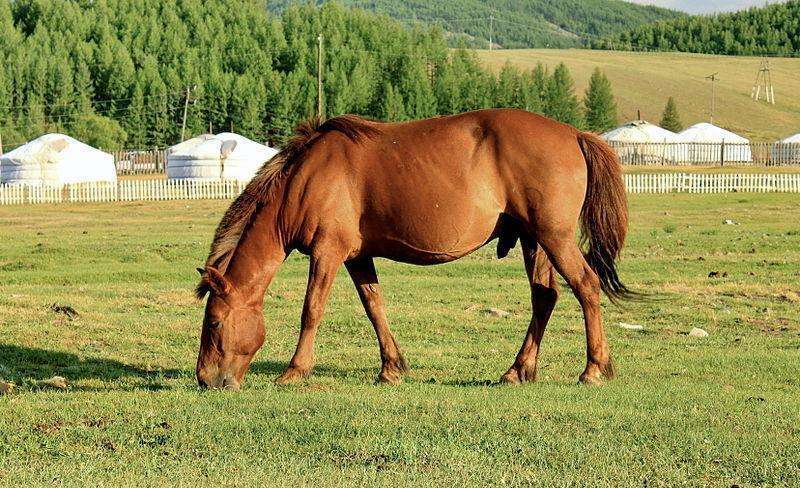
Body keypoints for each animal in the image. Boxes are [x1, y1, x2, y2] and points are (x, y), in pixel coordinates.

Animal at [195, 108, 632, 390]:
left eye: (213, 323)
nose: (205, 379)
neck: (305, 178)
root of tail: (574, 134)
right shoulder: (357, 257)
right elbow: (374, 307)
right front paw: (391, 368)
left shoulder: (327, 253)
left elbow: (311, 310)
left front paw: (295, 370)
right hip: (533, 241)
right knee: (544, 297)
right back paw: (518, 370)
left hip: (554, 237)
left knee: (586, 286)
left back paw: (593, 369)